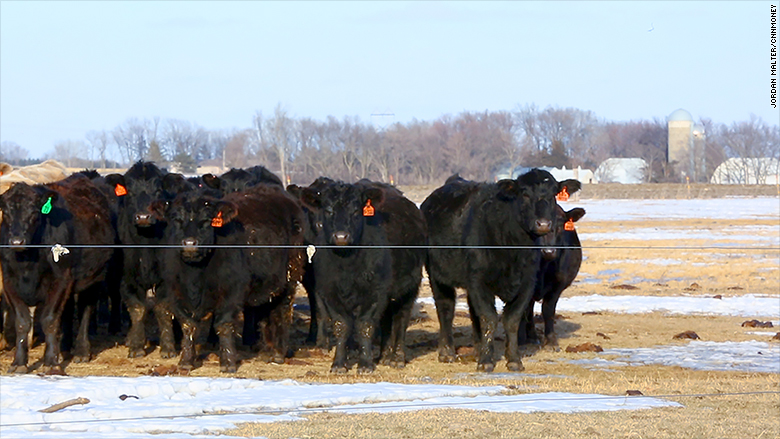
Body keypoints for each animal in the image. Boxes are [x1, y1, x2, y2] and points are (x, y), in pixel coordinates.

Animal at [0, 175, 114, 372]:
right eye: (5, 213)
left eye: (34, 213)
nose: (16, 241)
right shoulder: (9, 281)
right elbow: (22, 322)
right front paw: (19, 363)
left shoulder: (61, 279)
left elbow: (50, 319)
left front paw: (51, 364)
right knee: (67, 312)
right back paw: (64, 349)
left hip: (95, 278)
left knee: (86, 310)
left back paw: (81, 351)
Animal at [104, 163, 191, 360]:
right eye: (129, 191)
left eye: (158, 191)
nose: (143, 217)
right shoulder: (126, 279)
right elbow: (137, 310)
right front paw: (136, 345)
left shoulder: (167, 280)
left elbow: (162, 309)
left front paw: (168, 347)